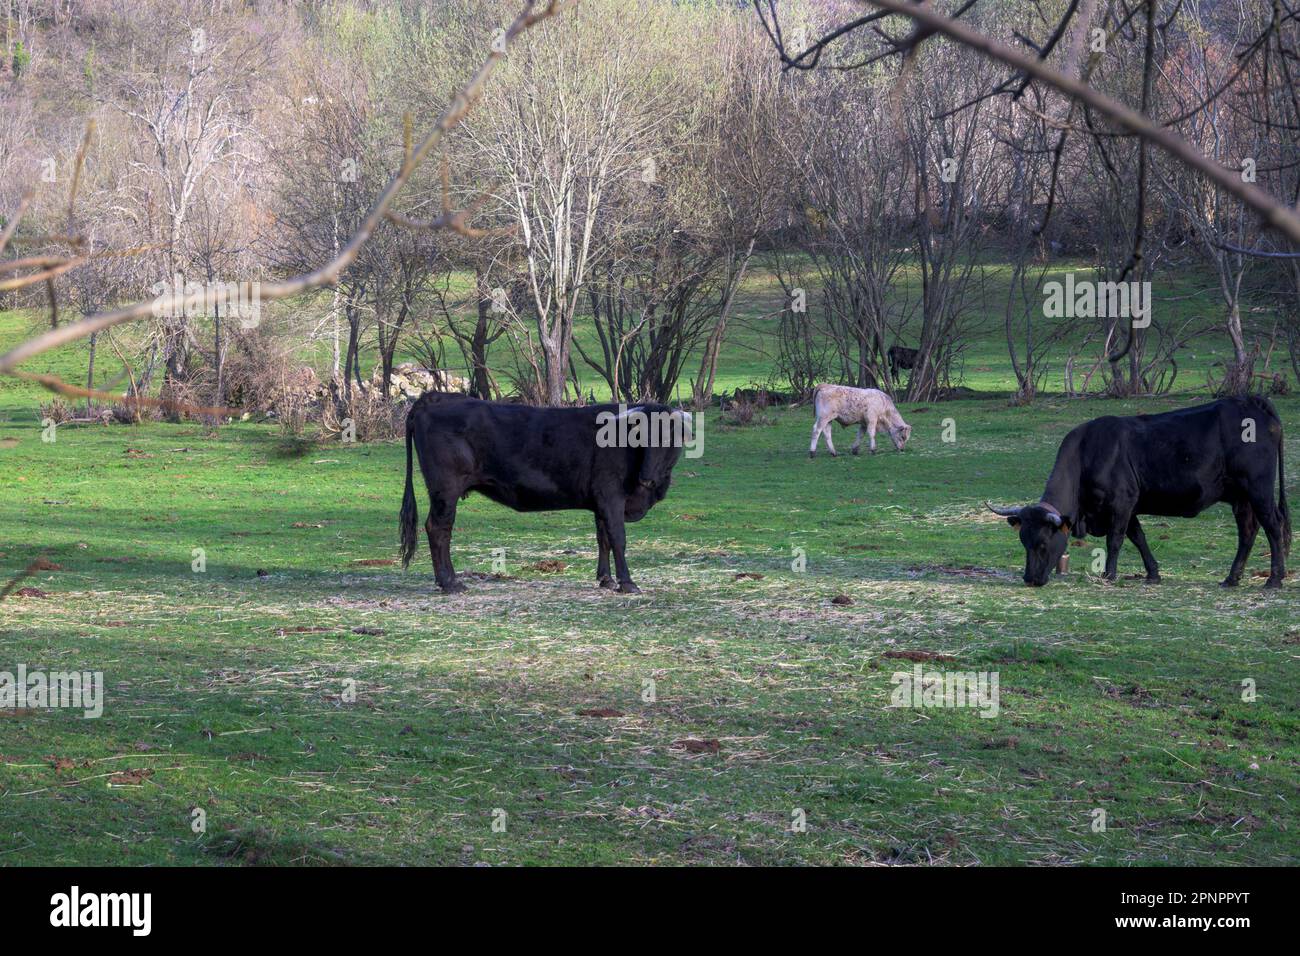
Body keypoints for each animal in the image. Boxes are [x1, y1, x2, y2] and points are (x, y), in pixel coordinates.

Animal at [399, 395, 690, 594]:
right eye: (641, 437)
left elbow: (603, 539)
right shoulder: (611, 496)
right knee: (439, 529)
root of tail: (436, 397)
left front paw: (605, 579)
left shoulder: (600, 502)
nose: (647, 477)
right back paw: (450, 582)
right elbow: (618, 539)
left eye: (670, 439)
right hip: (446, 490)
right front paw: (627, 583)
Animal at [987, 397, 1290, 588]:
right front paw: (1153, 573)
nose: (1030, 579)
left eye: (1041, 544)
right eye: (1023, 542)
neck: (1088, 453)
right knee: (1248, 532)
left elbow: (1115, 540)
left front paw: (1109, 574)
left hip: (1259, 489)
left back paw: (1274, 579)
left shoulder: (1121, 503)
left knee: (1273, 526)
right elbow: (1139, 537)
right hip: (1241, 498)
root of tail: (1251, 401)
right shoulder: (1129, 507)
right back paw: (1231, 579)